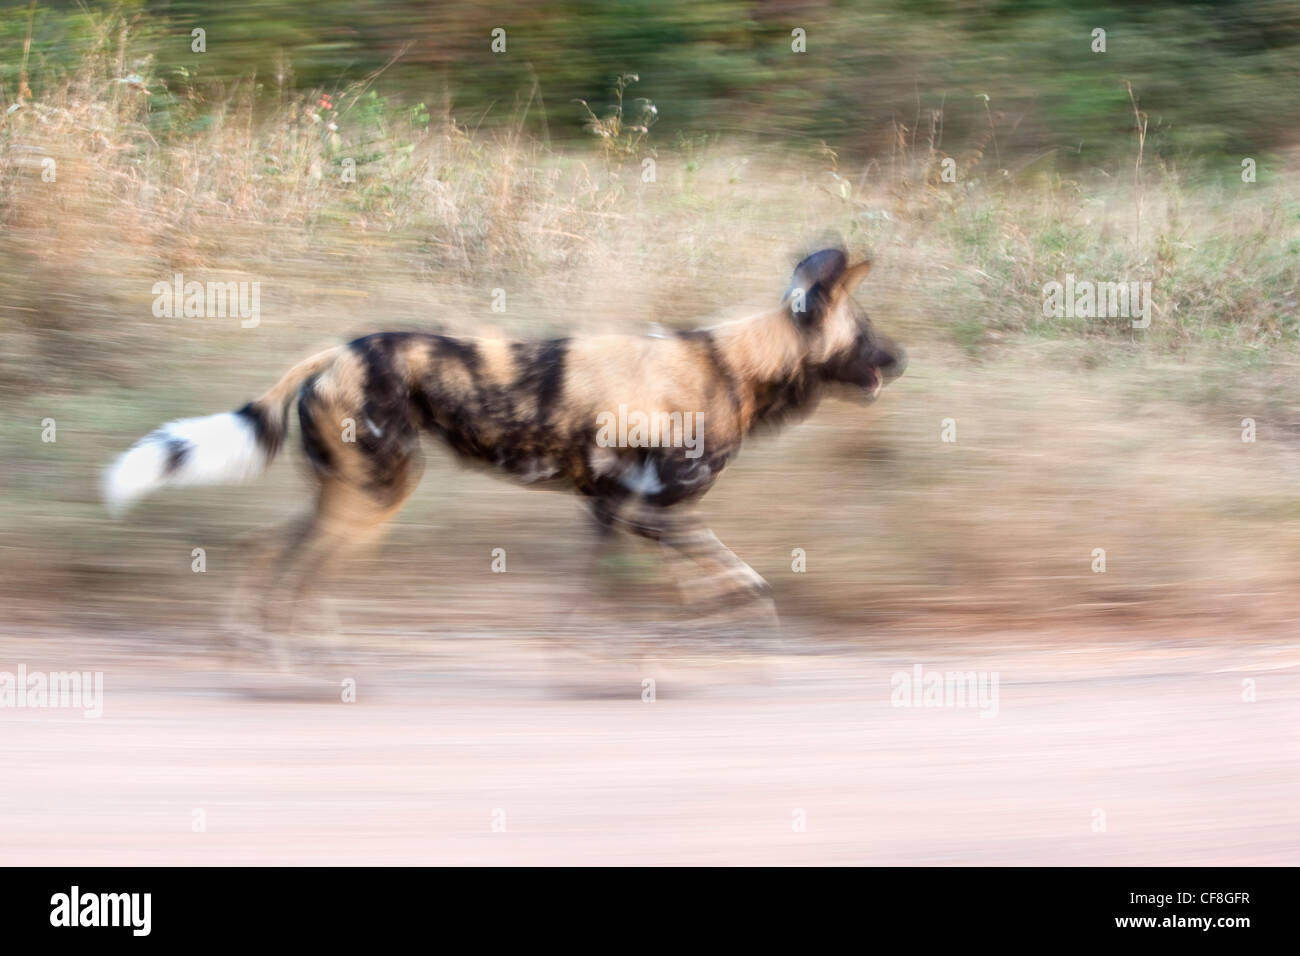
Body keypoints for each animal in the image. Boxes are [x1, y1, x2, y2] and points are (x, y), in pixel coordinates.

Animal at [101, 247, 904, 634]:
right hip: (376, 498)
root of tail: (336, 351)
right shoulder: (657, 512)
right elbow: (740, 582)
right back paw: (300, 668)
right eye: (866, 331)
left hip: (351, 492)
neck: (734, 364)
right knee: (298, 575)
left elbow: (636, 596)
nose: (901, 359)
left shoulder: (622, 513)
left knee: (267, 554)